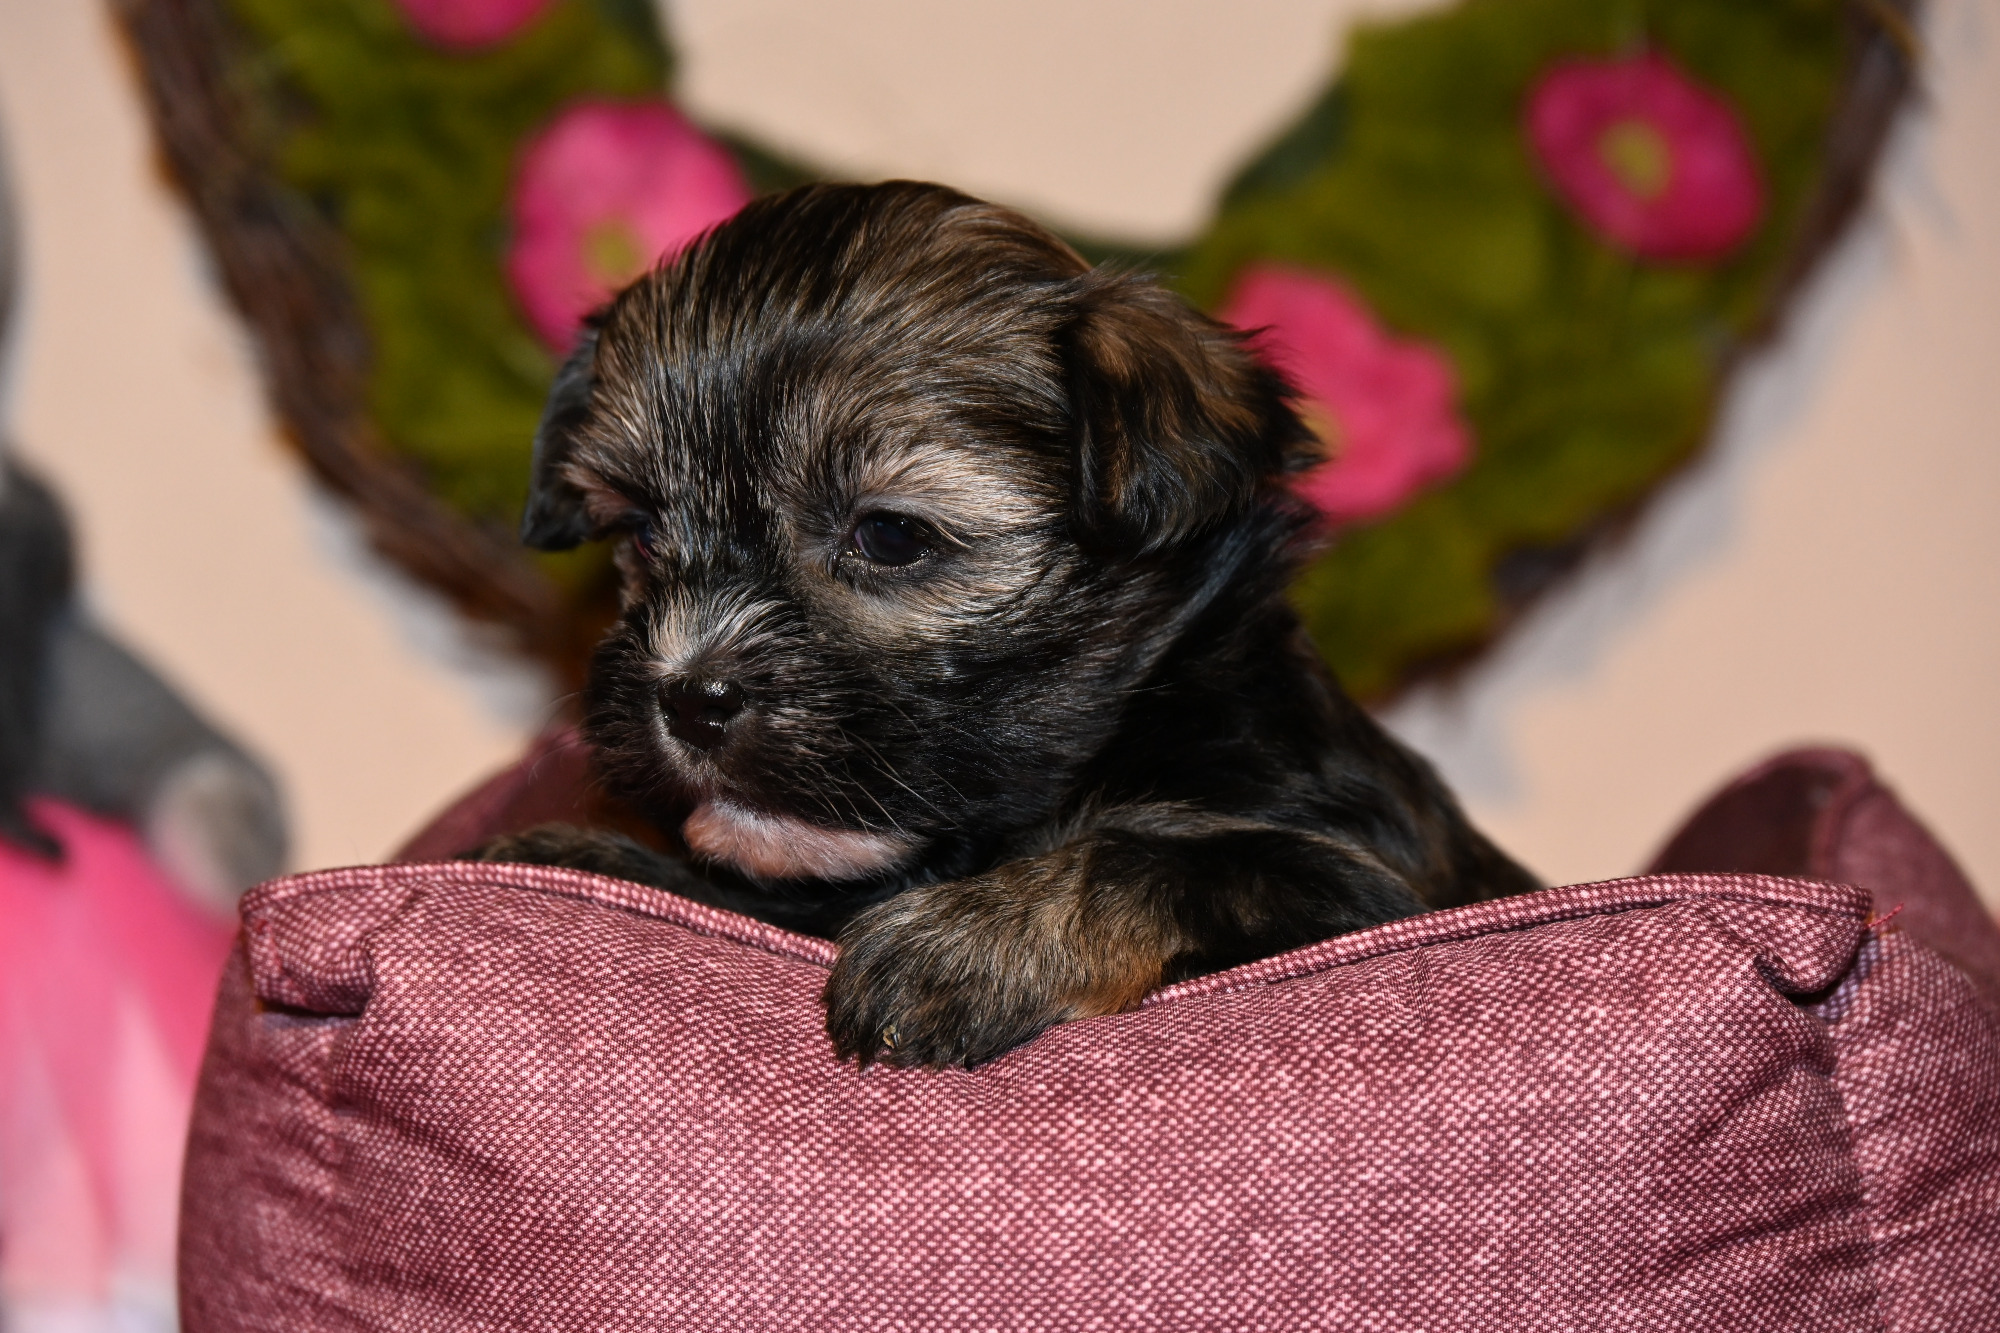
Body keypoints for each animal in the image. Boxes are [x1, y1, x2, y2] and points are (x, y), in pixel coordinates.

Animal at [474, 181, 1540, 1069]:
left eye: (890, 534)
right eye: (644, 533)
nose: (691, 696)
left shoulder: (1363, 889)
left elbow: (1156, 854)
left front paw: (966, 942)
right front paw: (592, 859)